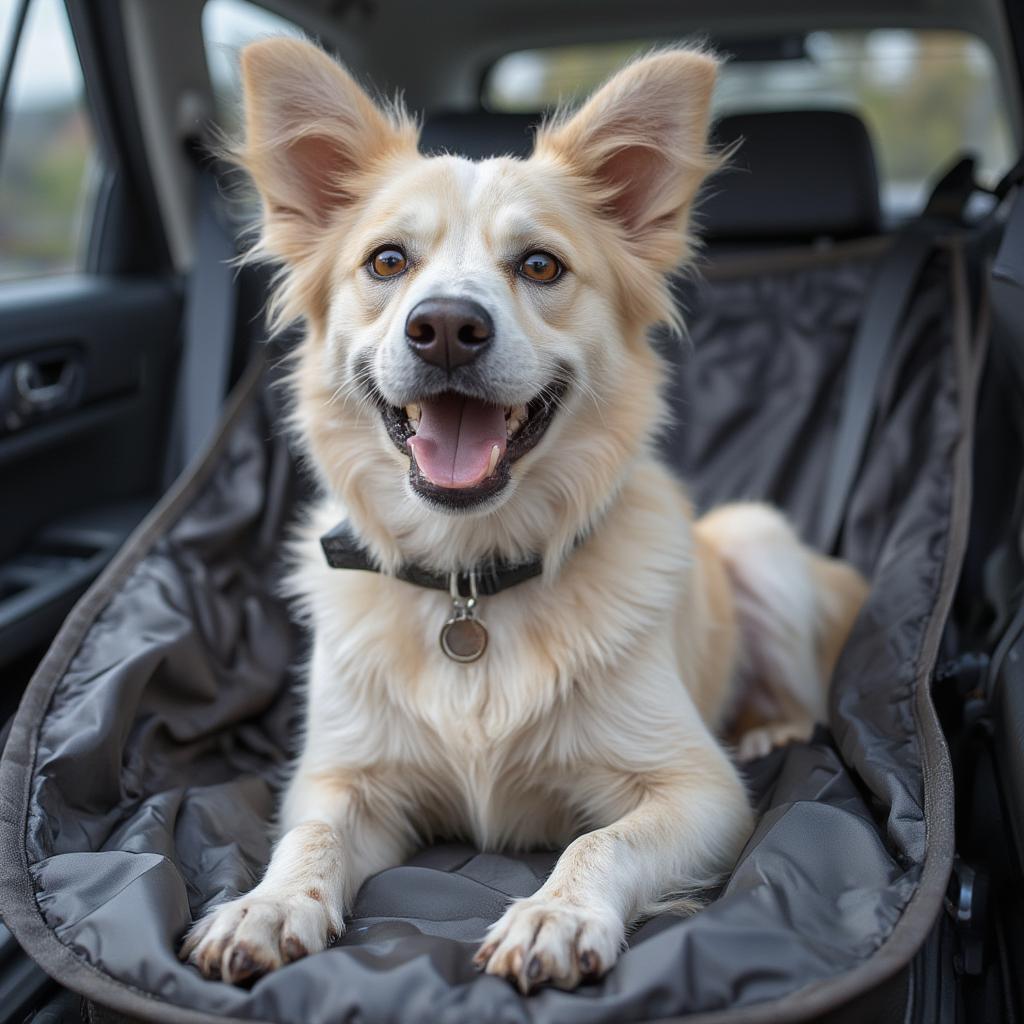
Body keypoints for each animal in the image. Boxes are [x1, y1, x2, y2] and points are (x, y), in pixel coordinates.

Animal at [180, 39, 868, 991]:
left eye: (540, 266)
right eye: (387, 262)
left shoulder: (700, 790)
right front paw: (270, 903)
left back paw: (774, 727)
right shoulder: (341, 778)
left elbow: (599, 843)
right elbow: (308, 836)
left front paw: (556, 913)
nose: (444, 327)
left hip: (756, 539)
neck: (471, 582)